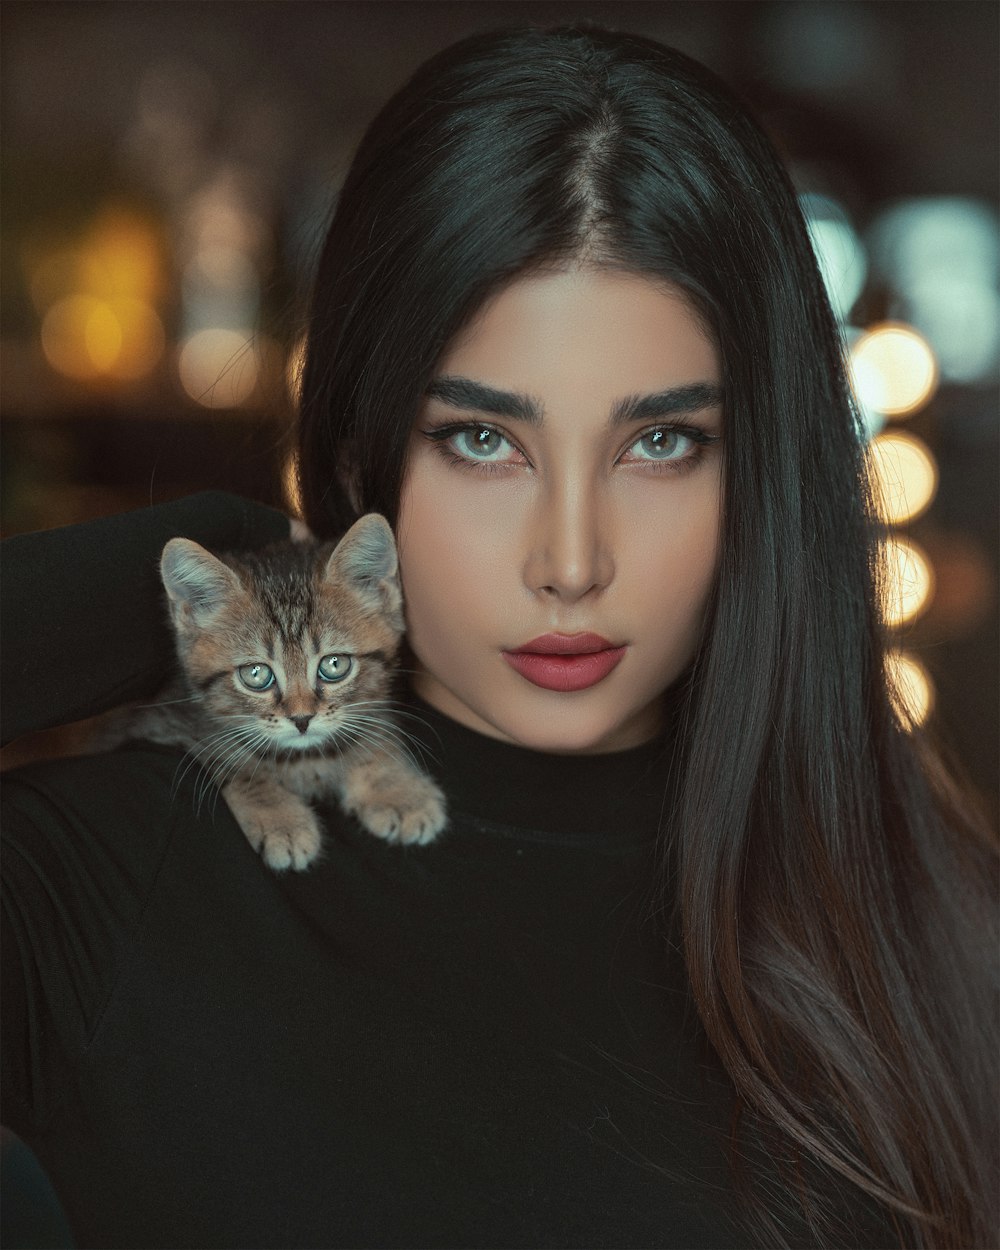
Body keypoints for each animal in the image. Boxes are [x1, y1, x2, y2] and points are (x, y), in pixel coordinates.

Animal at [105, 512, 445, 875]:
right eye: (256, 674)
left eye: (334, 664)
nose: (302, 718)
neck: (306, 759)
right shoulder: (162, 721)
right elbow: (229, 760)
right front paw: (278, 818)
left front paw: (396, 788)